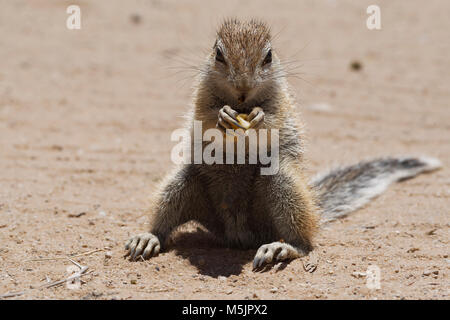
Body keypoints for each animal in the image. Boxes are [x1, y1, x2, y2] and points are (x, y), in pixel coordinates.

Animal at [125, 18, 442, 270]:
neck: (242, 103)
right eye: (218, 54)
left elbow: (275, 119)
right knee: (164, 221)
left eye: (268, 56)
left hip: (283, 185)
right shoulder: (201, 95)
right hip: (181, 183)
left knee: (305, 243)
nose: (242, 88)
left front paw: (259, 118)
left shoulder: (282, 101)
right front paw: (223, 116)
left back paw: (282, 247)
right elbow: (205, 115)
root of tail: (238, 234)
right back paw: (147, 238)